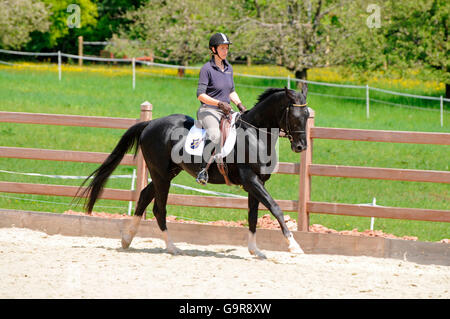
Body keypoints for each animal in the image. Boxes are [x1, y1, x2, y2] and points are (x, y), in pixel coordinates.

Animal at [78, 86, 310, 258]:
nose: (301, 147)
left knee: (144, 197)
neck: (256, 135)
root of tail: (150, 123)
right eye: (294, 115)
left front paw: (256, 250)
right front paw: (294, 246)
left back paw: (127, 240)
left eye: (307, 115)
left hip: (167, 173)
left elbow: (253, 216)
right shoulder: (250, 180)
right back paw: (172, 248)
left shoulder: (257, 181)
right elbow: (275, 208)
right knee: (159, 209)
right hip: (161, 175)